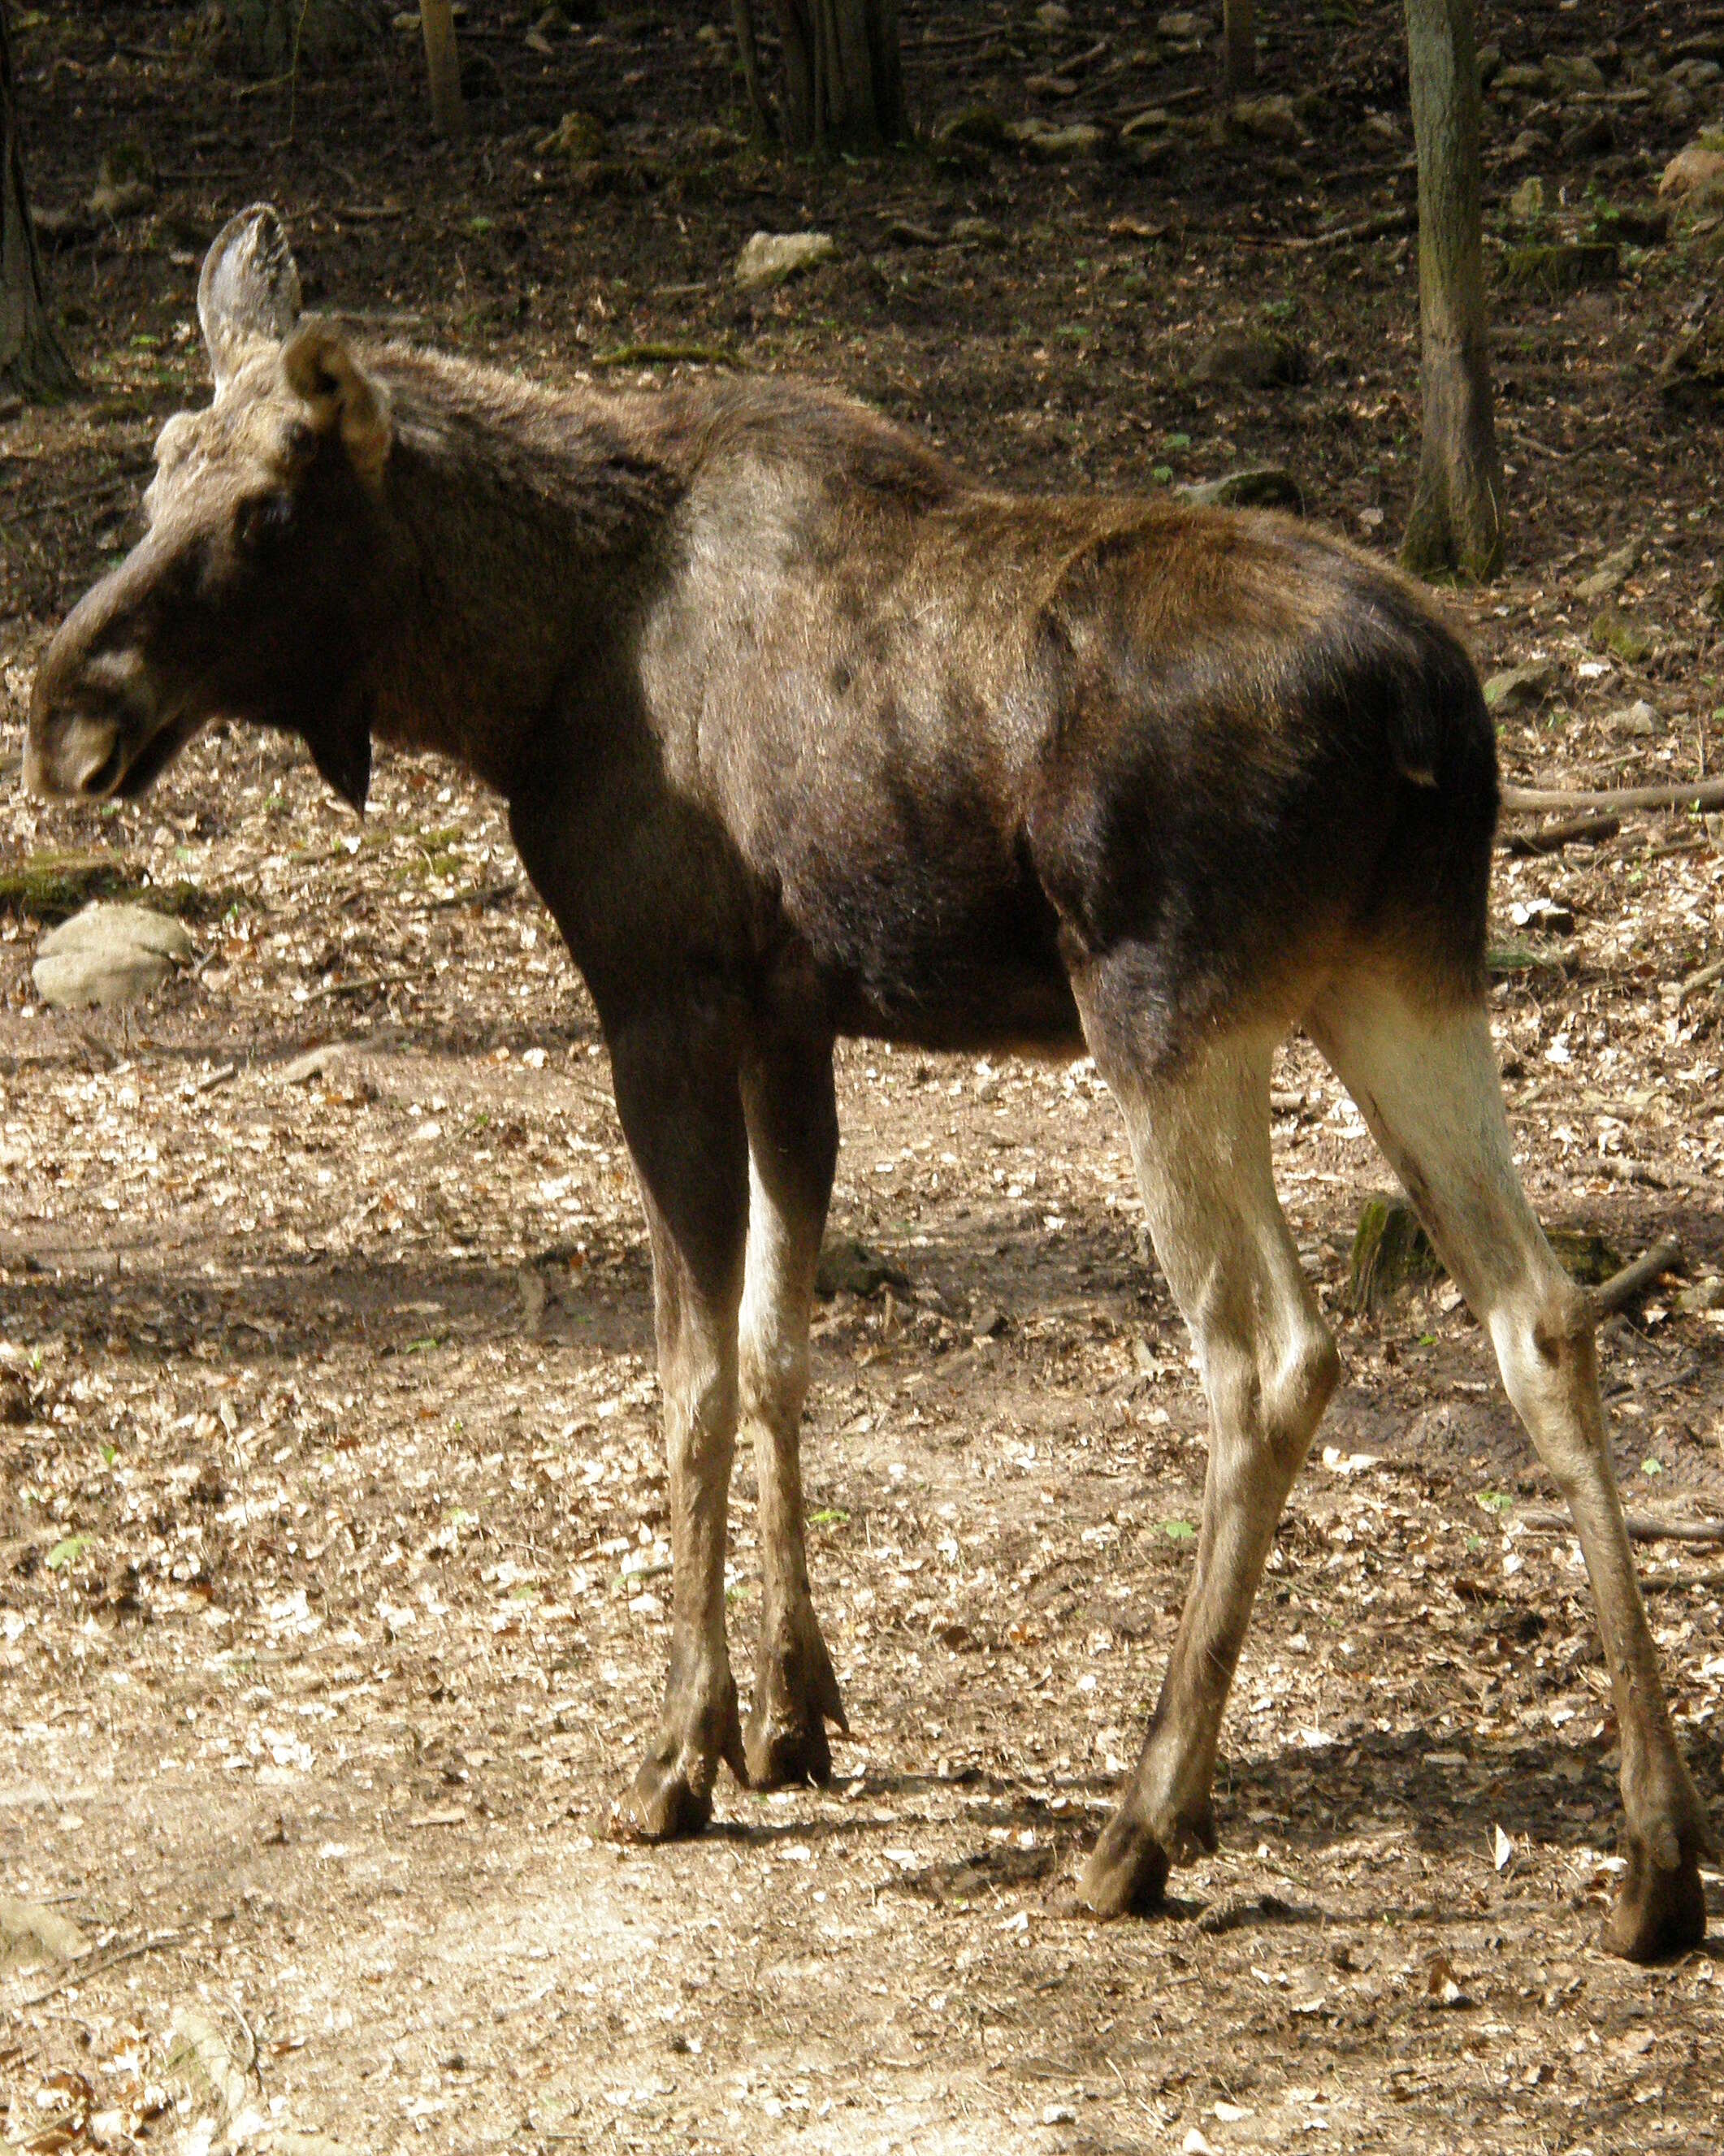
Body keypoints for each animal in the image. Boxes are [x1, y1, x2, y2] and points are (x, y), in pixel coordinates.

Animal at [24, 210, 1706, 1966]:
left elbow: (689, 1378)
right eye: (157, 467)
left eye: (268, 505)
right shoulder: (793, 1019)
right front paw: (794, 1710)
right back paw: (1654, 1856)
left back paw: (1140, 1823)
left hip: (1172, 1004)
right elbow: (781, 1350)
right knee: (1539, 1312)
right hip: (1398, 974)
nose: (63, 709)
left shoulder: (663, 997)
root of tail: (1427, 707)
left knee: (1269, 1355)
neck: (515, 676)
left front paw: (679, 1748)